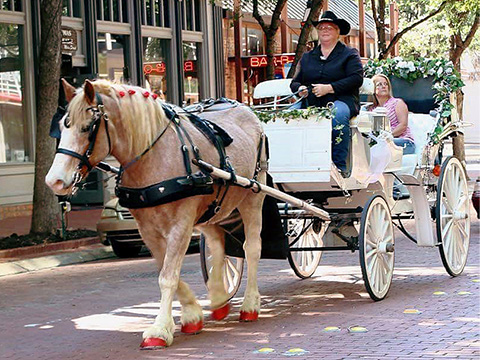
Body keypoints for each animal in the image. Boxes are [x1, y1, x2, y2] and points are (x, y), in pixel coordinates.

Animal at [45, 79, 268, 348]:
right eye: (60, 127)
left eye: (87, 128)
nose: (54, 181)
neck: (153, 155)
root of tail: (249, 111)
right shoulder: (147, 229)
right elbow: (165, 269)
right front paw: (192, 314)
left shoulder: (181, 223)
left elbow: (168, 276)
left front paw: (160, 329)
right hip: (211, 209)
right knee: (218, 243)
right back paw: (218, 297)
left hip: (253, 197)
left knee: (252, 248)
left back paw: (250, 304)